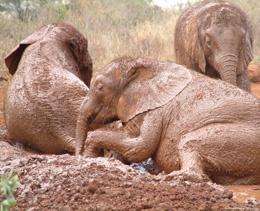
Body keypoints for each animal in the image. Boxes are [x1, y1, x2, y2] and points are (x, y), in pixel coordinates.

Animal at [75, 57, 260, 185]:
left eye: (99, 87)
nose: (78, 156)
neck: (148, 63)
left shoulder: (156, 111)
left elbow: (140, 147)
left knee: (188, 142)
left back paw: (173, 177)